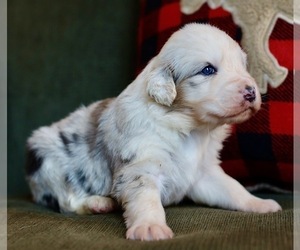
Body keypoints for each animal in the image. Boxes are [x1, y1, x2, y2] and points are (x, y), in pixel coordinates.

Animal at [25, 23, 282, 240]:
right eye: (208, 69)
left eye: (243, 66)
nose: (251, 91)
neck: (190, 129)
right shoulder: (141, 167)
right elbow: (146, 201)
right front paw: (150, 228)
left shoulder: (204, 172)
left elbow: (232, 188)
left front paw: (260, 203)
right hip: (47, 161)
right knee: (65, 200)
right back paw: (98, 203)